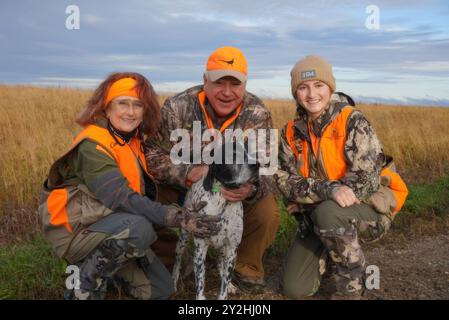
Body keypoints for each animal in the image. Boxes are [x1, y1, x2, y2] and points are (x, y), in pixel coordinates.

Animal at [172, 142, 260, 300]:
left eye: (251, 152)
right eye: (233, 154)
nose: (257, 164)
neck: (222, 201)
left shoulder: (232, 249)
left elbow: (224, 284)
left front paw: (227, 288)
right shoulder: (200, 249)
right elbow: (200, 283)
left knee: (222, 265)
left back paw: (230, 284)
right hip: (183, 238)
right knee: (177, 261)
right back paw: (173, 282)